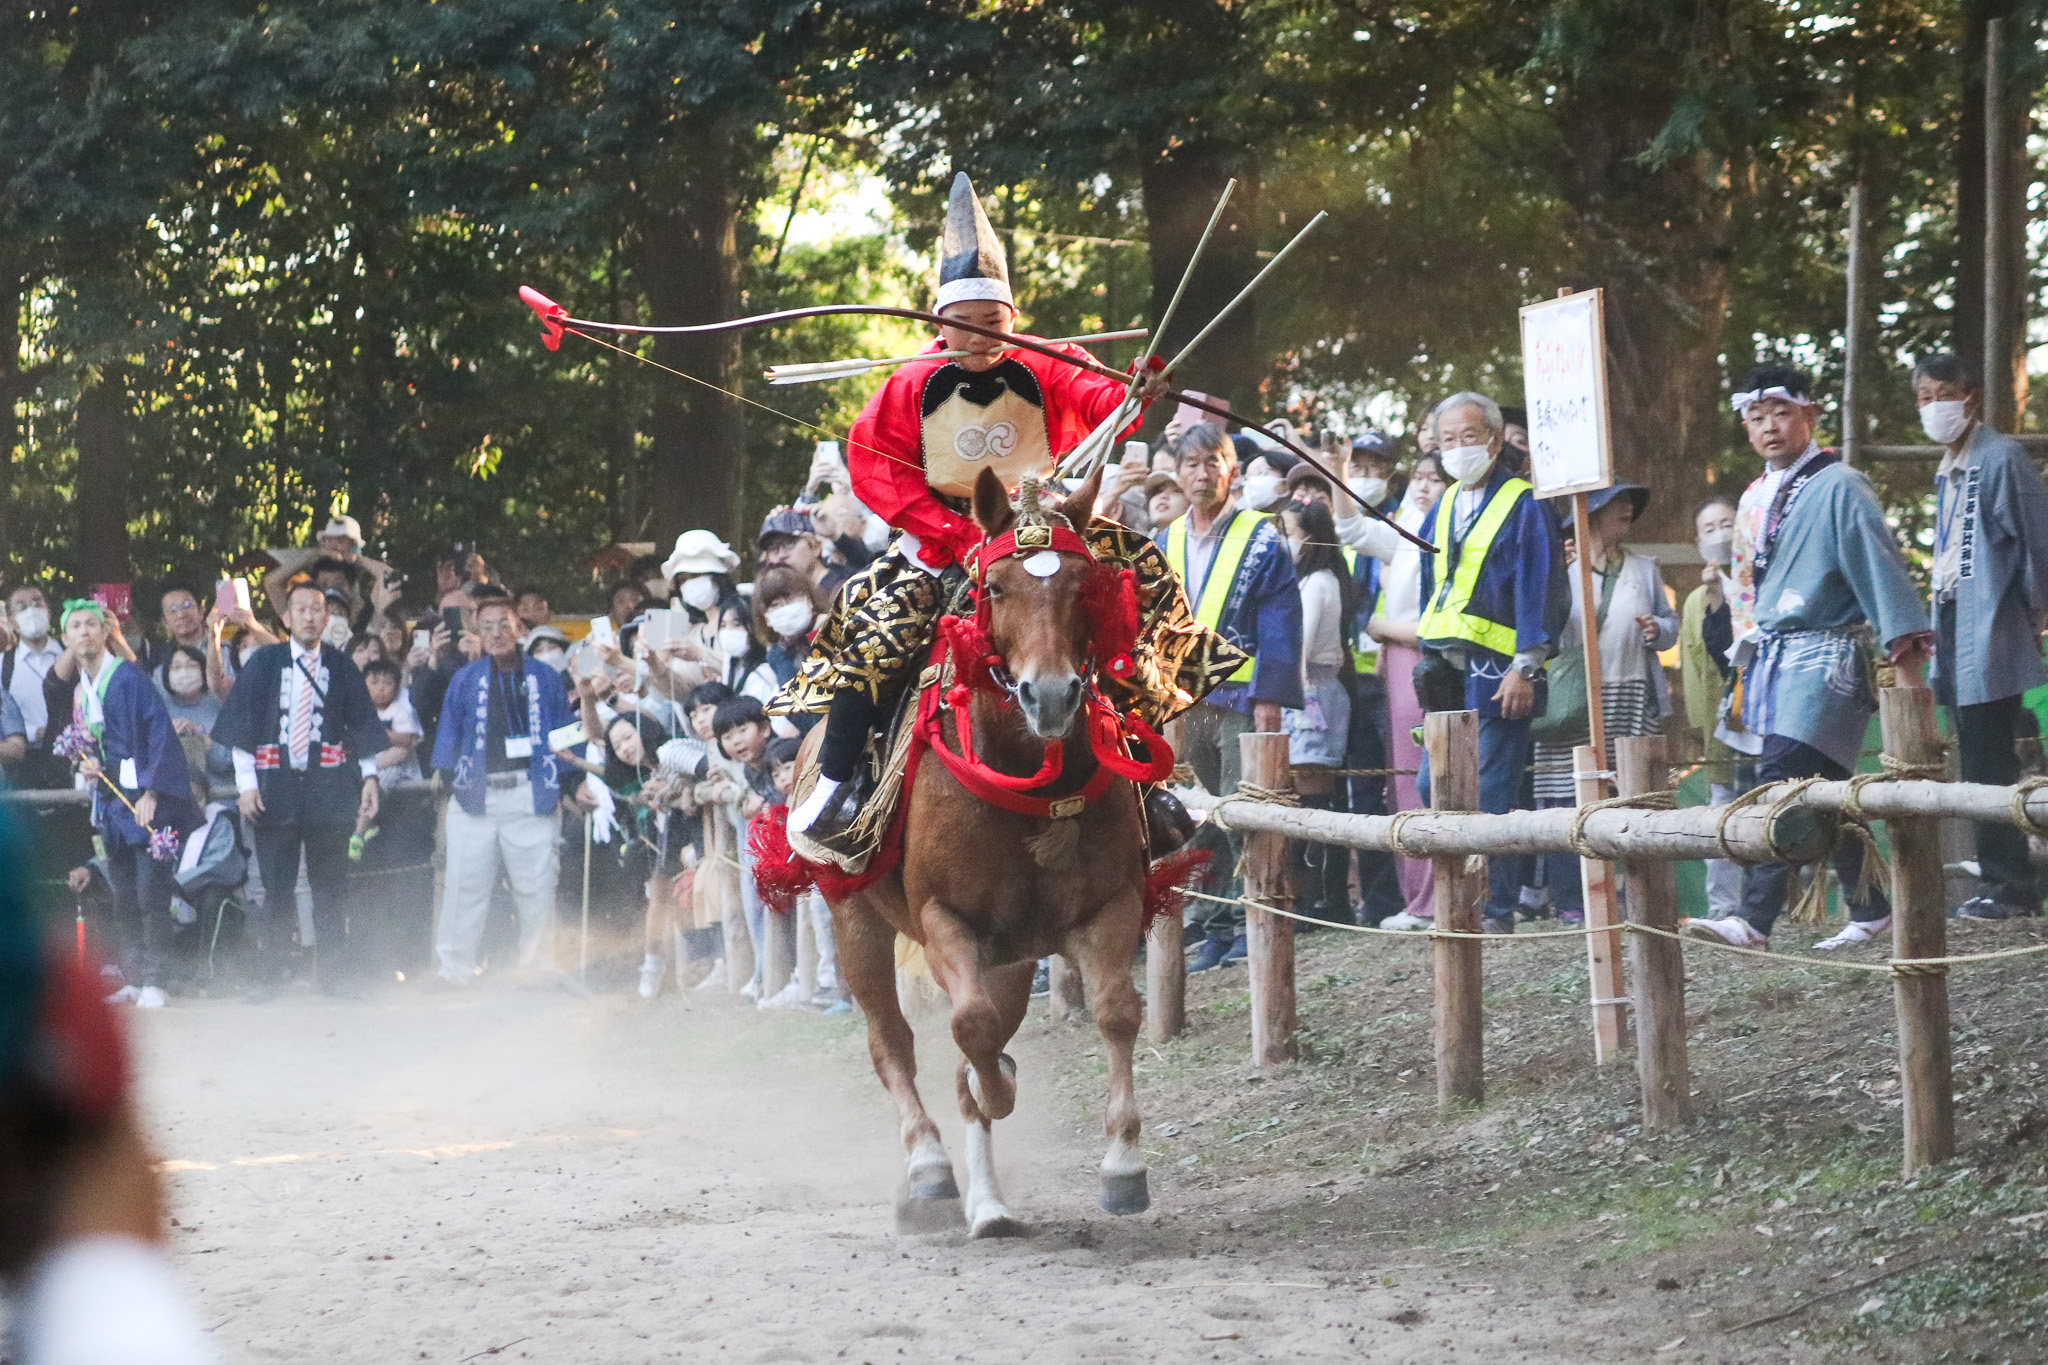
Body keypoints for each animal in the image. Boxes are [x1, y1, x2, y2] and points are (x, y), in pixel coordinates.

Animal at [808, 466, 1157, 1238]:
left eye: (1085, 585)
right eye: (995, 586)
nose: (1050, 694)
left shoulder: (1108, 904)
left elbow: (1116, 1008)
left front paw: (1124, 1165)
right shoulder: (945, 918)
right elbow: (970, 1031)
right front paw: (992, 1094)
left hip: (1013, 955)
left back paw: (990, 1203)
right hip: (854, 917)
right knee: (892, 1041)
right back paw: (931, 1166)